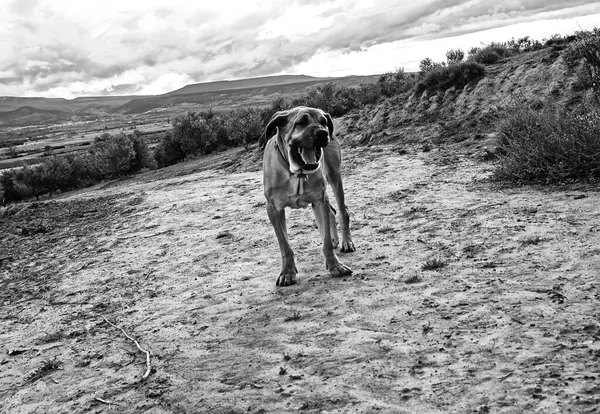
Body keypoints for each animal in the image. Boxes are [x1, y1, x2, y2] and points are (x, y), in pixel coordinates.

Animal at [262, 106, 354, 286]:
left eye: (323, 121)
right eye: (301, 122)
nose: (323, 133)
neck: (296, 173)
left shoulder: (319, 201)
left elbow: (325, 241)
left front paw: (335, 265)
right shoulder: (274, 209)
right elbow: (284, 245)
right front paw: (287, 272)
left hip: (334, 176)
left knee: (342, 210)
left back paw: (346, 241)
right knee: (332, 212)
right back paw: (336, 239)